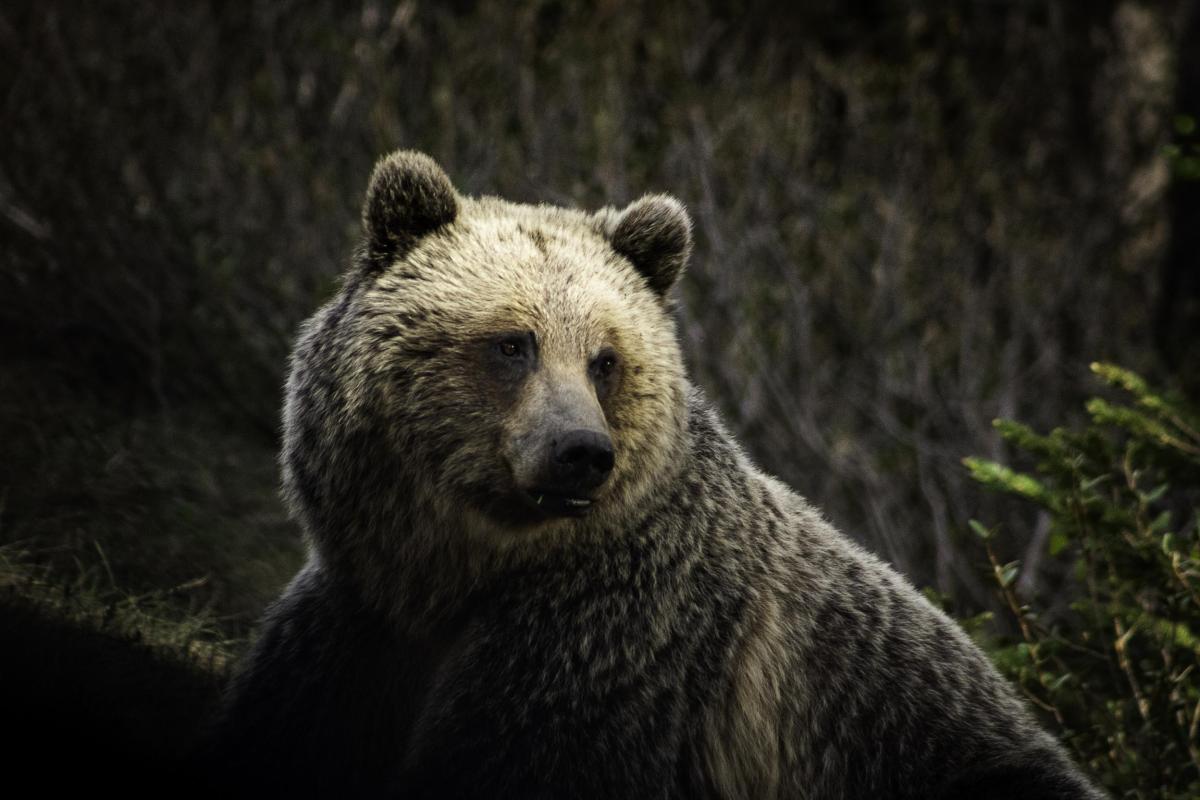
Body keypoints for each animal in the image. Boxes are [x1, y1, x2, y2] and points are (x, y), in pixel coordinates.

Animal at [212, 150, 1106, 800]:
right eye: (513, 343)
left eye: (605, 358)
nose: (581, 450)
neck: (456, 572)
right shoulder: (355, 631)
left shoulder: (610, 657)